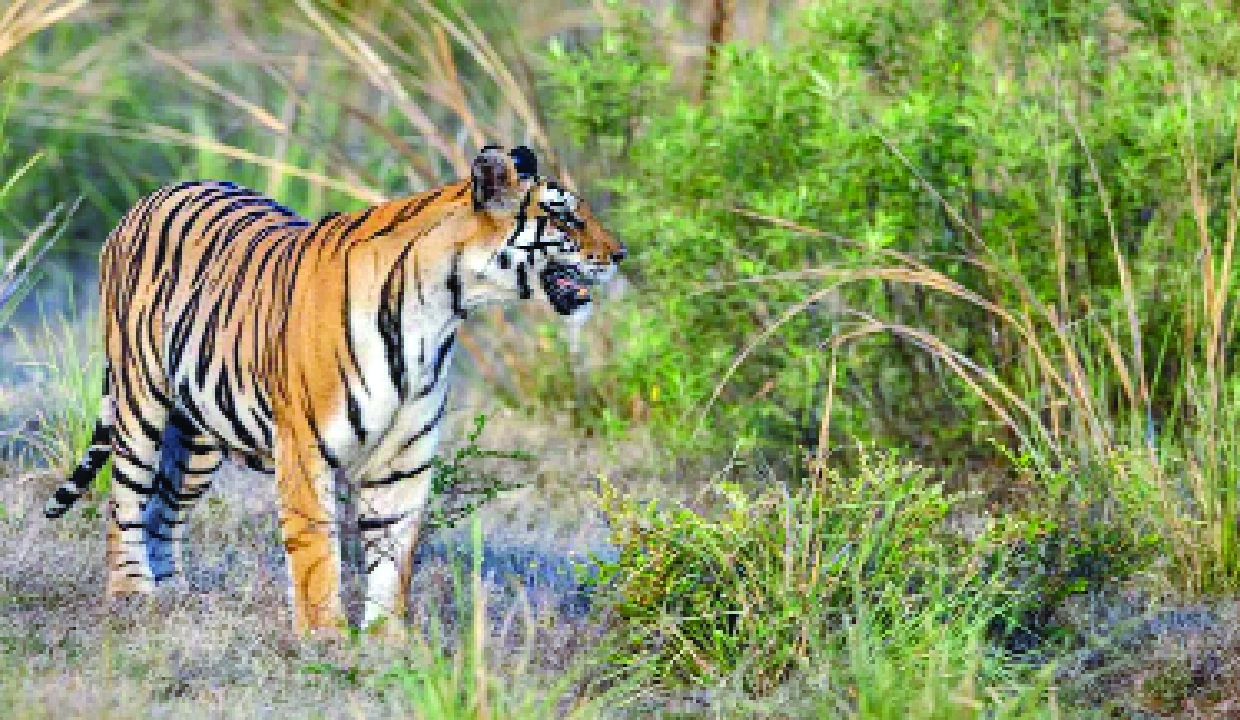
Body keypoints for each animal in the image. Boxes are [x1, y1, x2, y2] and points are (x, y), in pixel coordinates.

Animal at [42, 145, 626, 635]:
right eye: (566, 217)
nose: (620, 254)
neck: (443, 309)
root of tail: (152, 196)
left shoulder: (403, 458)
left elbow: (394, 553)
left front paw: (388, 641)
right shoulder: (304, 447)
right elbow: (316, 551)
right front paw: (325, 638)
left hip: (200, 434)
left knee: (164, 509)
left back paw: (174, 597)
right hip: (138, 401)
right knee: (125, 501)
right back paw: (131, 595)